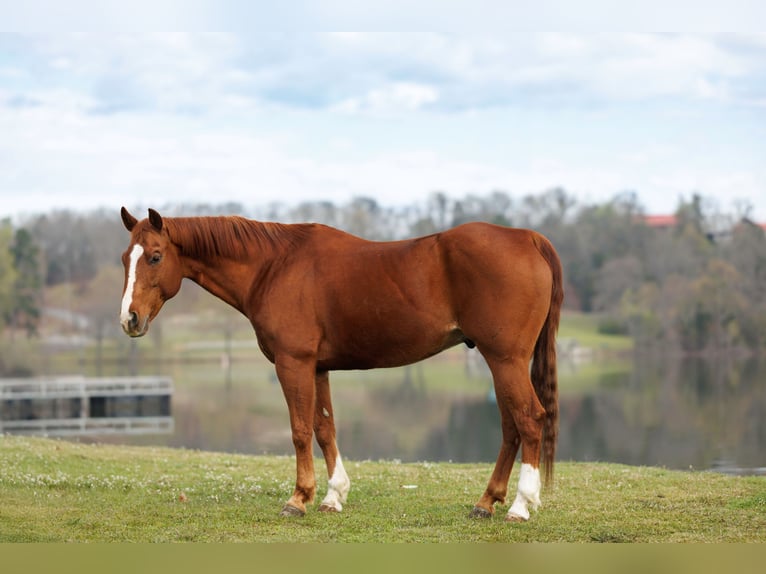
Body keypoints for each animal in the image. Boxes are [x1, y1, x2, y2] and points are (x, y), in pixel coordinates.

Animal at [119, 207, 563, 522]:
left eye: (155, 257)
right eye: (126, 258)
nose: (129, 320)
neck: (274, 266)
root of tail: (529, 238)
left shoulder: (293, 363)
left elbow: (300, 430)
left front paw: (298, 498)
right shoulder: (317, 367)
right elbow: (324, 427)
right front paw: (333, 496)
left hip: (505, 360)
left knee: (529, 419)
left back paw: (519, 506)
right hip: (501, 362)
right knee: (511, 427)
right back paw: (486, 502)